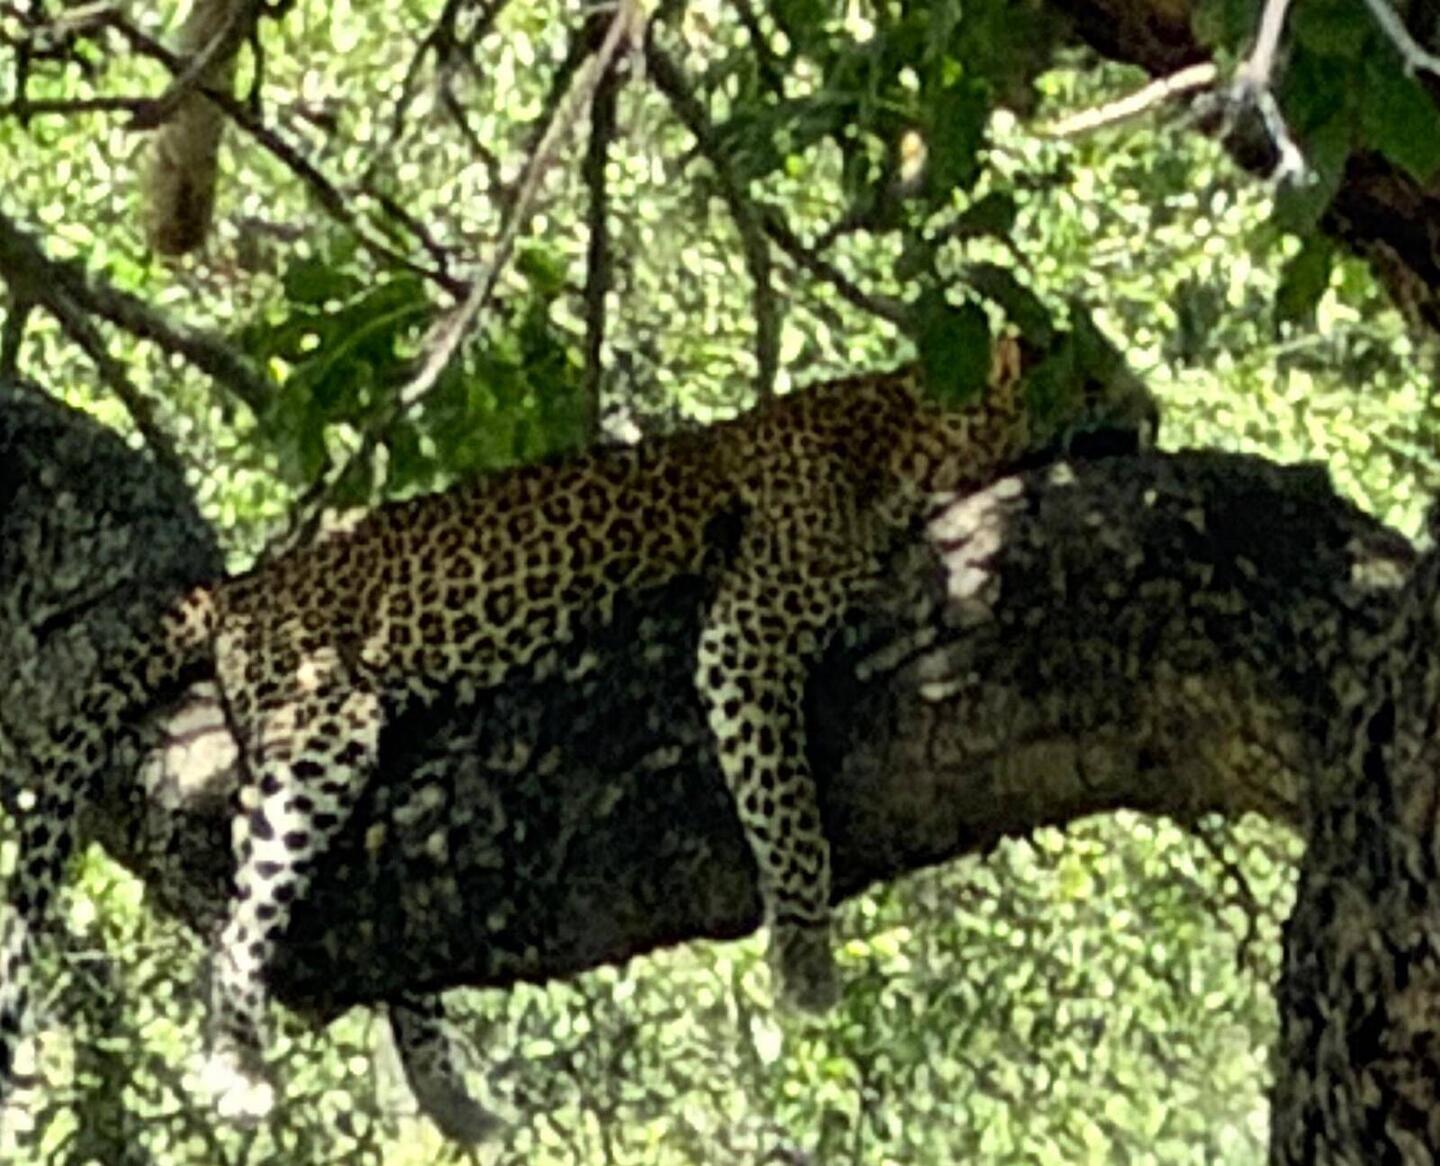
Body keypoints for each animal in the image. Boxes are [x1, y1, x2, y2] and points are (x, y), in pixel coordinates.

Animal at [0, 337, 1156, 1137]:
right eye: (1099, 375)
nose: (1153, 415)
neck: (913, 421)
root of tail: (247, 583)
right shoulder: (750, 627)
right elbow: (785, 804)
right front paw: (806, 959)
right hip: (321, 713)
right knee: (246, 910)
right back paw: (237, 1061)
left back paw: (450, 1099)